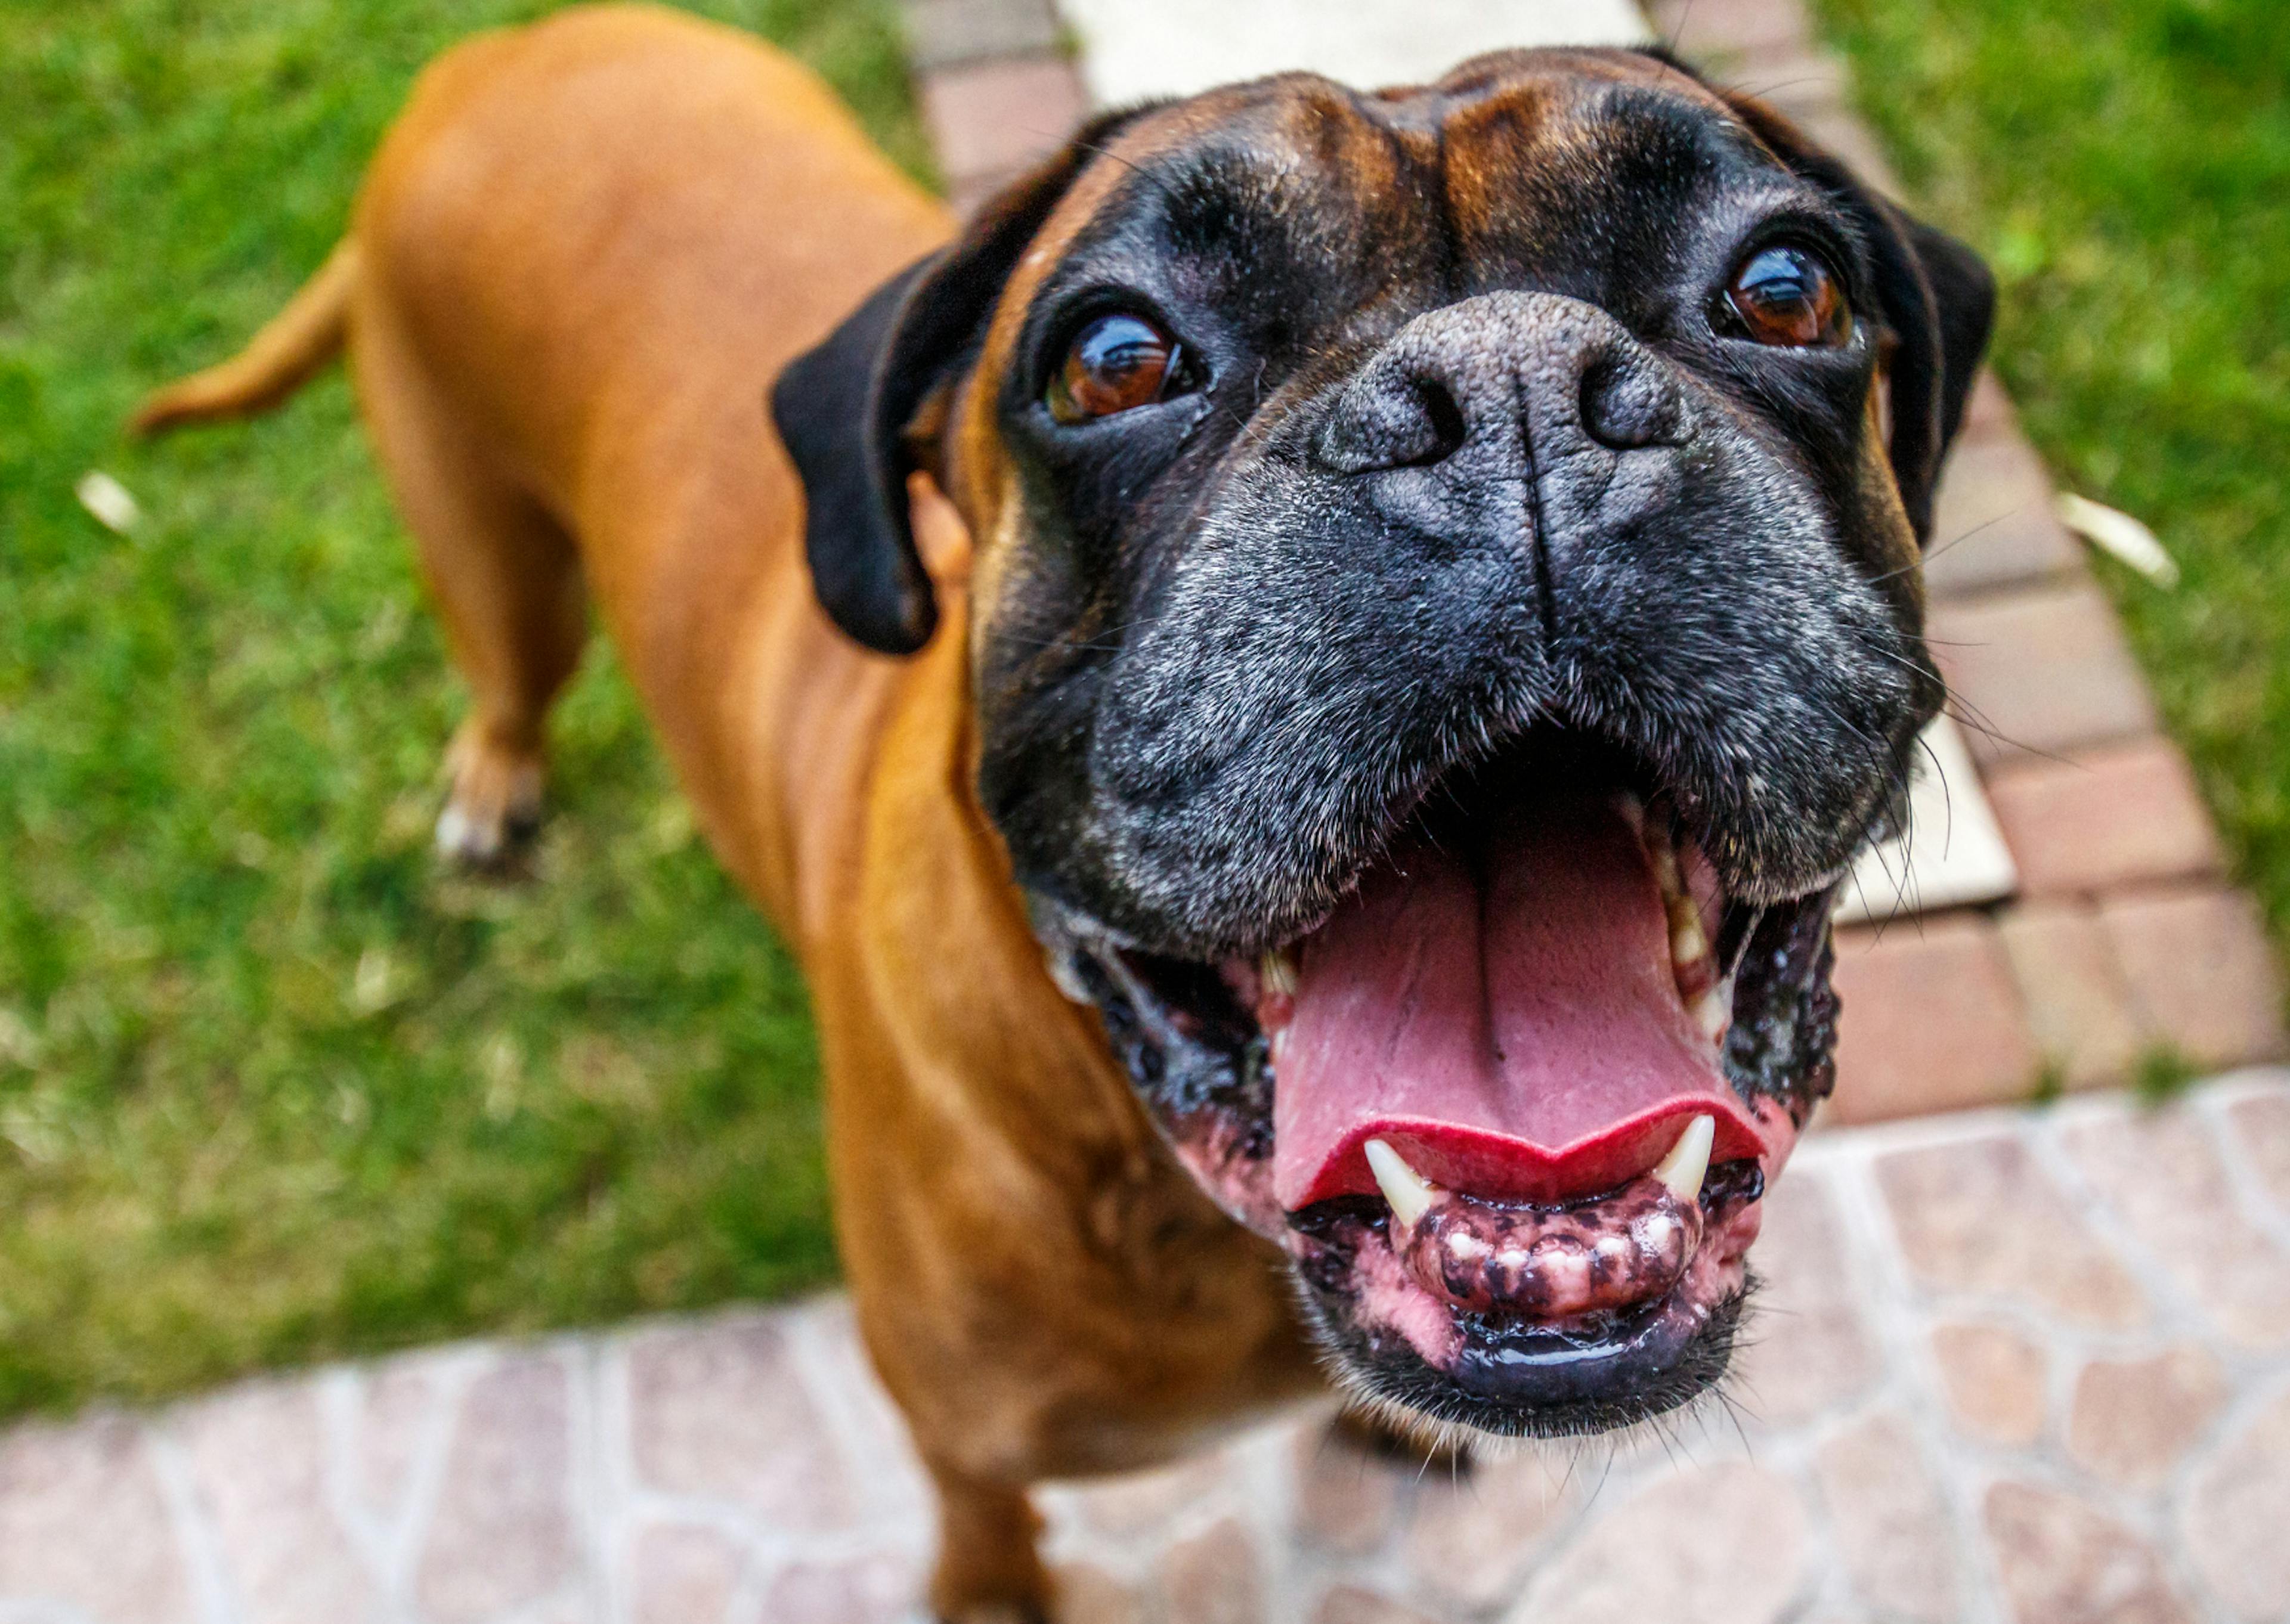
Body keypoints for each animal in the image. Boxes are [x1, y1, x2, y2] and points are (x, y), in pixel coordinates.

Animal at [138, 9, 1988, 1612]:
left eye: (1785, 284)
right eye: (1112, 358)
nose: (1513, 384)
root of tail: (495, 56)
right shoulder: (959, 1439)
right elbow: (985, 1527)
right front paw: (991, 1598)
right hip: (493, 558)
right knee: (509, 684)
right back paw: (494, 788)